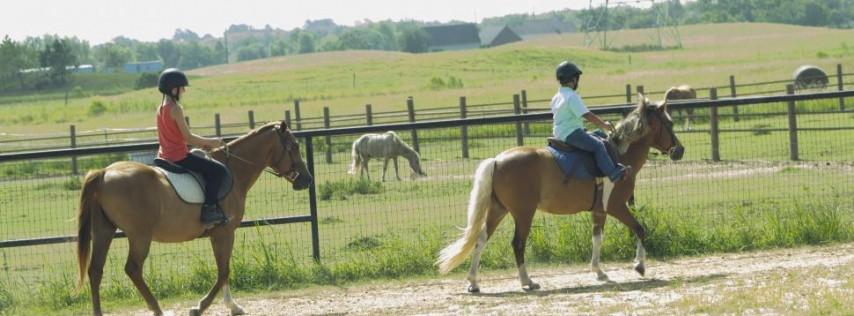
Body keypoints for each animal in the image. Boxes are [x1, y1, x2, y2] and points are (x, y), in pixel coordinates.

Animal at [77, 121, 314, 316]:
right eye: (294, 147)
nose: (307, 179)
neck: (234, 171)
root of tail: (104, 173)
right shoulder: (224, 233)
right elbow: (223, 271)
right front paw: (201, 307)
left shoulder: (219, 234)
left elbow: (224, 269)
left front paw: (232, 306)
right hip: (139, 235)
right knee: (133, 269)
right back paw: (158, 309)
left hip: (104, 231)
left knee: (95, 270)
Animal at [438, 94, 684, 294]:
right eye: (669, 123)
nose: (680, 151)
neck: (619, 157)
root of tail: (497, 160)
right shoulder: (616, 206)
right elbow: (640, 229)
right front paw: (639, 265)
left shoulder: (600, 211)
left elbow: (597, 238)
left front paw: (599, 272)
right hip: (523, 214)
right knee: (518, 244)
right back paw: (527, 282)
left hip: (498, 209)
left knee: (480, 240)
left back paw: (473, 283)